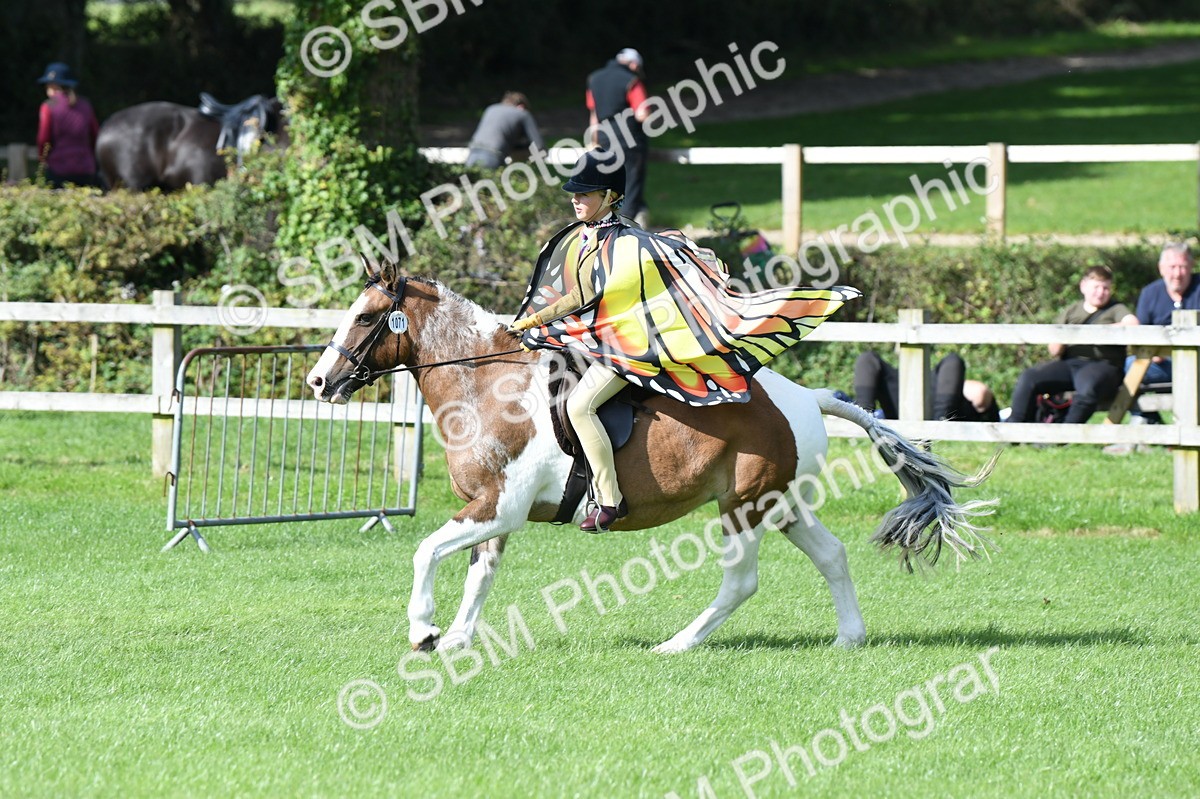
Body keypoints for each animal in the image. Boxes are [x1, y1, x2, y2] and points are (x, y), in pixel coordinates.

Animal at [305, 260, 997, 654]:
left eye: (365, 317)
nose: (317, 381)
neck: (487, 387)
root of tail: (807, 397)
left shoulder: (498, 507)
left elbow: (426, 552)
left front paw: (423, 631)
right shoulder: (490, 513)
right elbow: (479, 576)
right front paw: (454, 640)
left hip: (743, 507)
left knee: (741, 582)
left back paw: (676, 645)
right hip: (780, 502)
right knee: (832, 555)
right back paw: (849, 640)